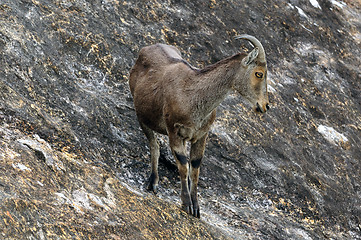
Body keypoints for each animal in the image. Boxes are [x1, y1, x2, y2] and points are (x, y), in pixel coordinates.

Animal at [129, 35, 268, 218]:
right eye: (259, 73)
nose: (264, 106)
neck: (194, 95)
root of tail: (146, 49)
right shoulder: (174, 131)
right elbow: (183, 165)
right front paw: (186, 204)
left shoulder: (201, 136)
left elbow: (194, 168)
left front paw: (196, 208)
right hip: (142, 117)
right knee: (154, 145)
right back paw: (152, 183)